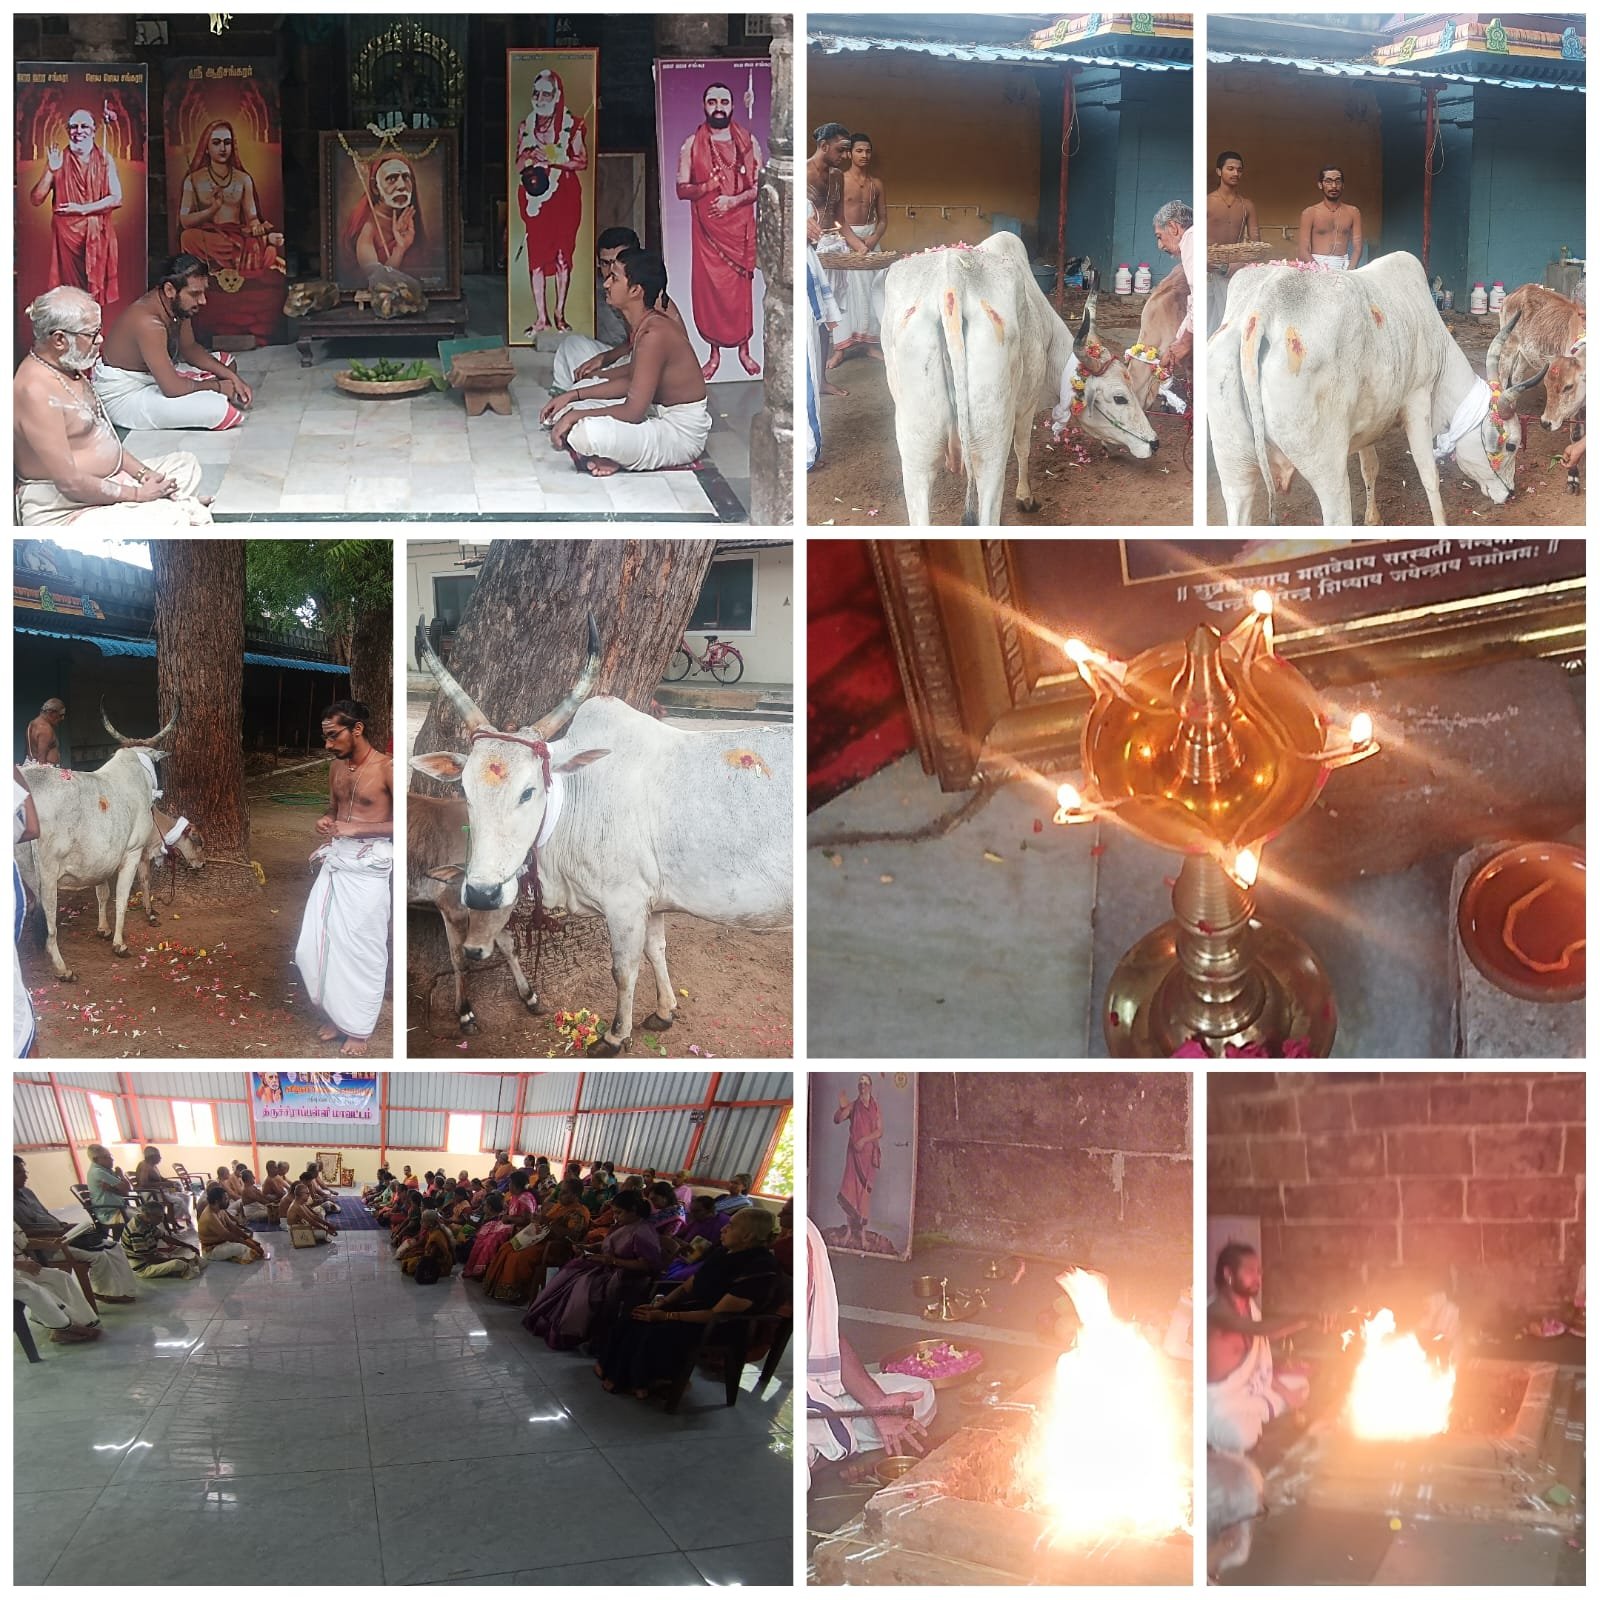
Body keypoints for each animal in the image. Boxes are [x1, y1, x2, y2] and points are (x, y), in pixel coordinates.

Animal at [19, 704, 178, 979]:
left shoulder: (102, 857)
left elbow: (102, 893)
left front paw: (103, 929)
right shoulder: (133, 851)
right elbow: (124, 896)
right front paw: (120, 943)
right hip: (46, 876)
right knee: (49, 927)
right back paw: (63, 969)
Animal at [409, 617, 790, 1056]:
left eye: (529, 791)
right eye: (466, 789)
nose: (482, 894)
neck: (578, 794)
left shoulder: (625, 902)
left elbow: (623, 969)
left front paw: (614, 1035)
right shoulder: (651, 901)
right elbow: (656, 951)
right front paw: (664, 1011)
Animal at [883, 230, 1158, 524]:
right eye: (1120, 398)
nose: (1154, 443)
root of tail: (952, 283)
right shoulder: (1027, 403)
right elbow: (1023, 448)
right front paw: (1025, 496)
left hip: (917, 455)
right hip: (991, 447)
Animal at [1216, 251, 1542, 524]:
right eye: (1511, 444)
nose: (1509, 493)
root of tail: (1262, 310)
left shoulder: (1369, 419)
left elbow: (1369, 467)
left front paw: (1373, 519)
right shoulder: (1417, 400)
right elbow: (1429, 474)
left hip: (1234, 471)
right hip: (1328, 472)